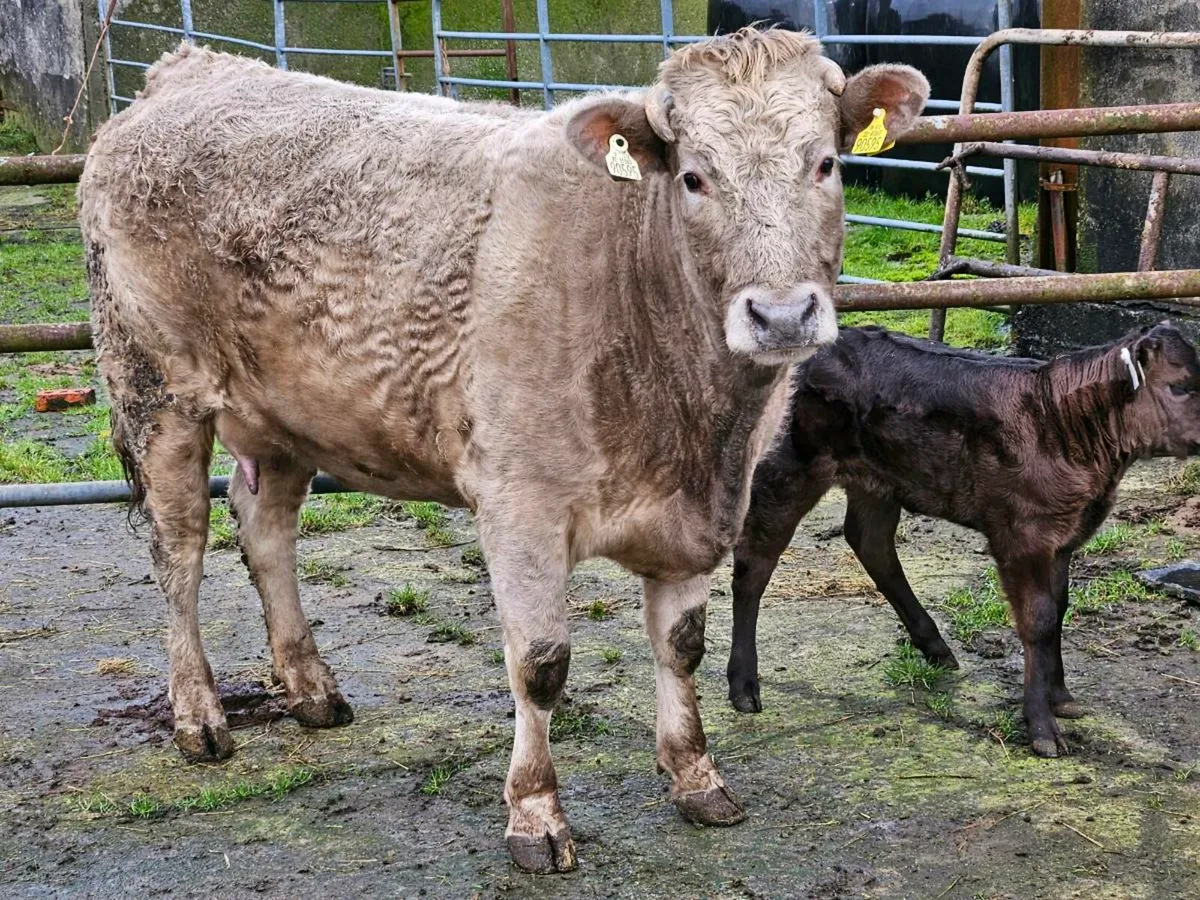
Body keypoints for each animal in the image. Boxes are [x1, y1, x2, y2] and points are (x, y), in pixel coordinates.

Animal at [78, 31, 929, 872]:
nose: (781, 315)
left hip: (284, 412)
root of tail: (188, 69)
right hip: (154, 388)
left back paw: (311, 686)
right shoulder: (520, 504)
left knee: (265, 530)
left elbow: (682, 645)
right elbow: (540, 664)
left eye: (826, 163)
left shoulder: (702, 510)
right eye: (694, 176)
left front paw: (696, 777)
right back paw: (199, 716)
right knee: (181, 552)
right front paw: (535, 814)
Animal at [726, 324, 1200, 758]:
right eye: (1180, 386)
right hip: (786, 468)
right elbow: (1038, 620)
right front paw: (1042, 728)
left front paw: (1062, 698)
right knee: (753, 566)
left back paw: (934, 646)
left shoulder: (1063, 537)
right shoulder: (1020, 534)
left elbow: (1059, 611)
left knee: (871, 543)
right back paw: (743, 686)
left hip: (877, 480)